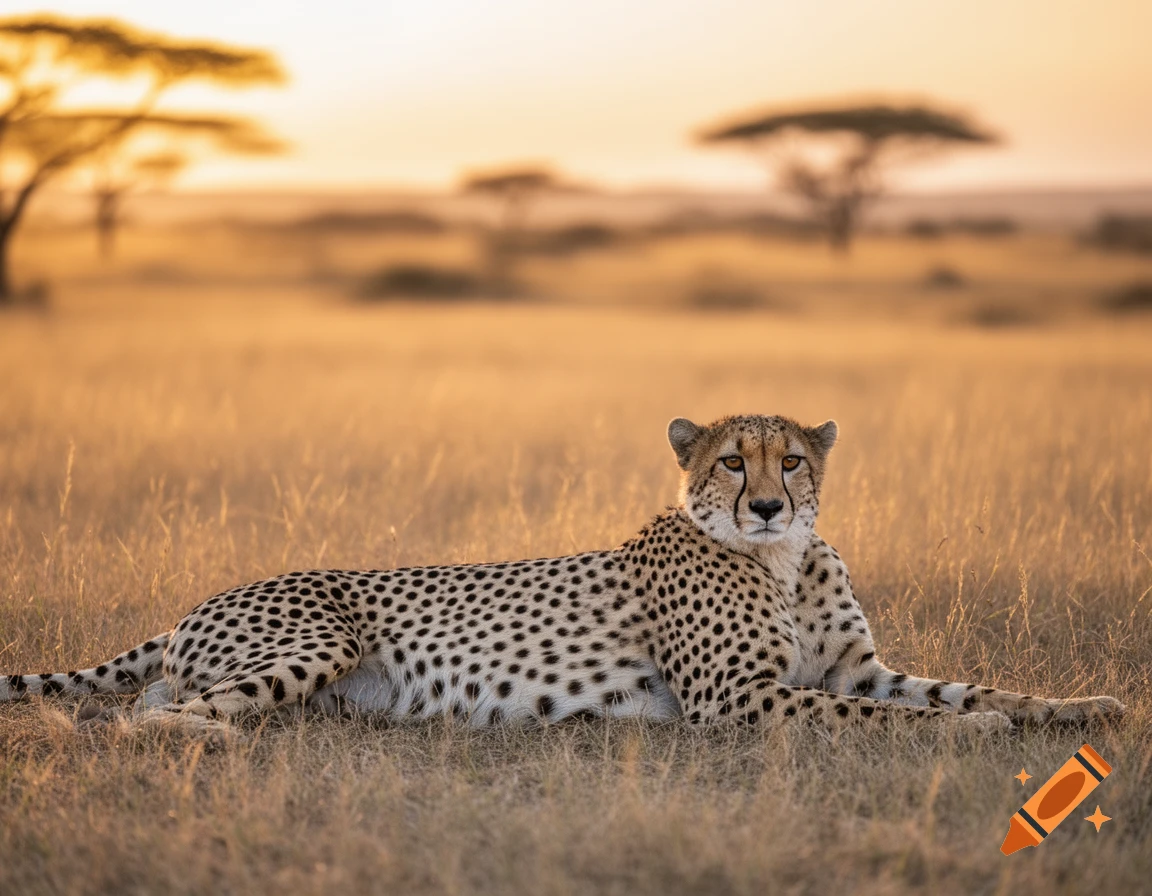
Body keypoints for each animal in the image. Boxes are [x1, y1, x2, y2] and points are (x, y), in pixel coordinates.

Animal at [0, 414, 1124, 737]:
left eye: (793, 460)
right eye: (732, 460)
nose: (767, 502)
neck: (780, 559)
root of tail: (204, 596)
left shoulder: (854, 665)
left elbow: (963, 685)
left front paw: (1084, 705)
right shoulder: (738, 699)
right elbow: (881, 715)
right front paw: (974, 734)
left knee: (153, 697)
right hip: (319, 636)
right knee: (146, 711)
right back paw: (213, 739)